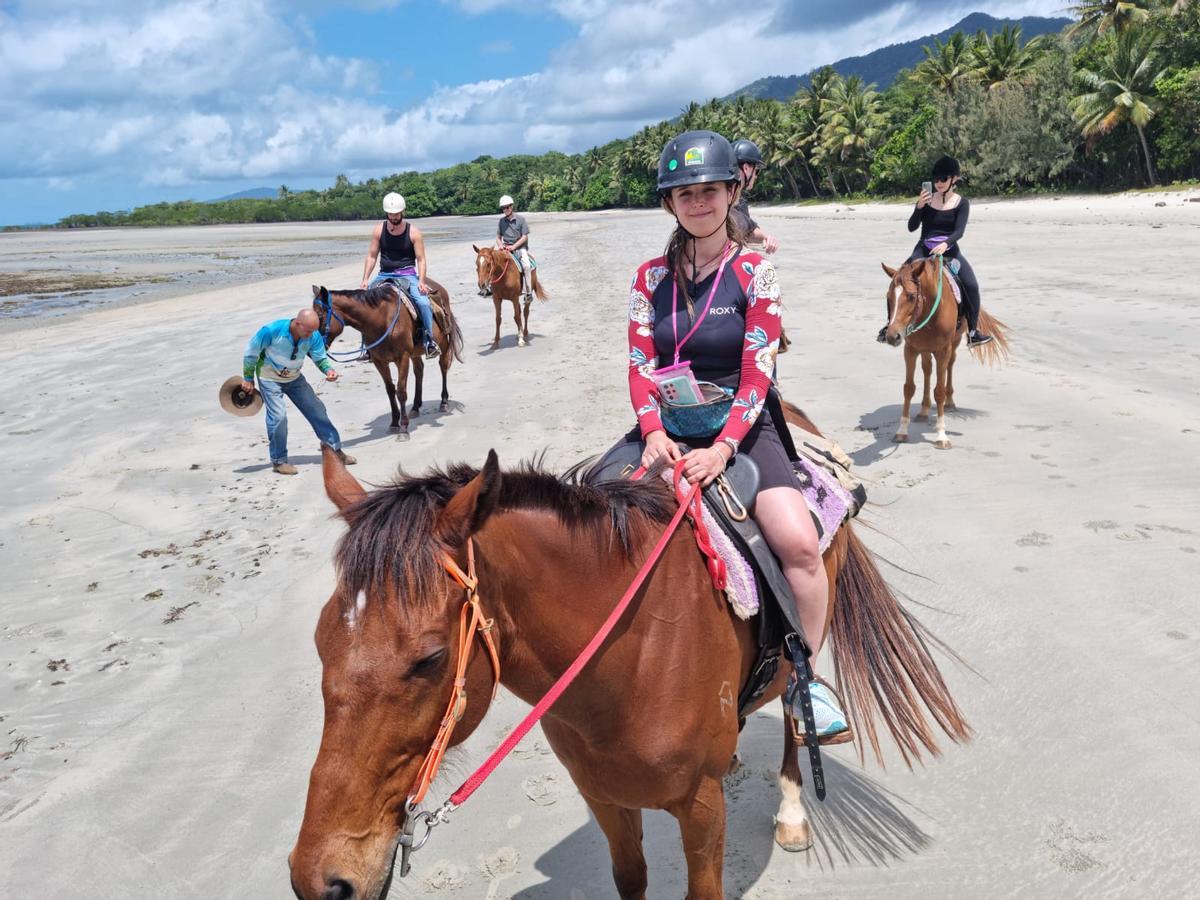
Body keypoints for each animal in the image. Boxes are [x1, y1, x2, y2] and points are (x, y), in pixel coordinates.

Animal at [292, 410, 974, 900]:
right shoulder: (603, 798)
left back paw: (791, 809)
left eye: (430, 659)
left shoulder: (700, 809)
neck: (631, 659)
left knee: (791, 703)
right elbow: (631, 879)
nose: (320, 877)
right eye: (321, 641)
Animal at [314, 282, 463, 436]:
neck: (381, 320)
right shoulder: (379, 361)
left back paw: (443, 402)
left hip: (443, 343)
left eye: (319, 316)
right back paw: (415, 407)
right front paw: (394, 423)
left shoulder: (402, 358)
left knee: (443, 366)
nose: (316, 344)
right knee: (419, 371)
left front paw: (403, 429)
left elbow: (401, 391)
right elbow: (390, 390)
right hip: (415, 353)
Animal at [878, 259, 1008, 448]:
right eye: (888, 297)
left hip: (954, 342)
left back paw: (950, 402)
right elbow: (908, 388)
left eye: (911, 296)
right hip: (925, 348)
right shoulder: (910, 349)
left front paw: (941, 435)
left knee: (950, 365)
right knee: (927, 369)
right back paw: (924, 409)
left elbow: (939, 390)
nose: (892, 336)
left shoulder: (942, 350)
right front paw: (902, 431)